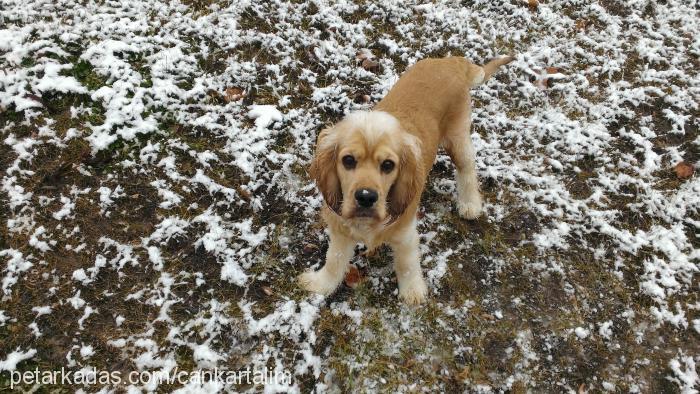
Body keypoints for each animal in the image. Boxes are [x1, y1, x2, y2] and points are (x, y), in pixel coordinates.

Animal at [298, 55, 512, 304]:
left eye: (388, 165)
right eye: (348, 160)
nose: (366, 197)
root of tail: (450, 61)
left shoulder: (405, 232)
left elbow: (407, 263)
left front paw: (412, 292)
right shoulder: (340, 226)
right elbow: (335, 258)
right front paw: (321, 284)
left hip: (458, 137)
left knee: (467, 168)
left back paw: (470, 204)